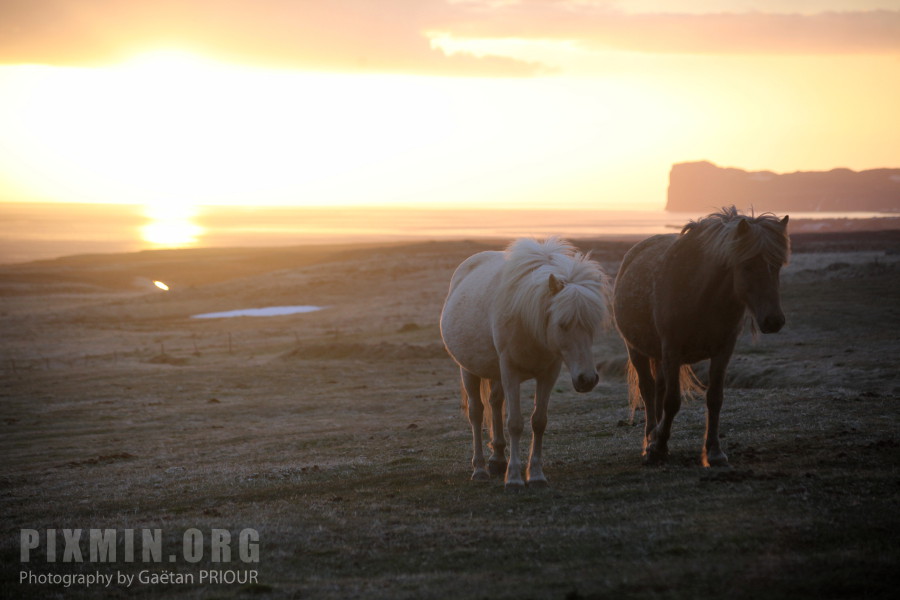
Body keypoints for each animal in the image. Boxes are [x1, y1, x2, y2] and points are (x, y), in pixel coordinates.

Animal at [438, 237, 608, 490]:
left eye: (591, 324)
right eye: (562, 324)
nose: (587, 379)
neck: (527, 318)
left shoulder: (549, 372)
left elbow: (539, 421)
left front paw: (535, 474)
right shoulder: (511, 371)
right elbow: (515, 423)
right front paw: (515, 478)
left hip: (495, 372)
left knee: (495, 403)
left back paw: (498, 460)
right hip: (468, 370)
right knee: (476, 412)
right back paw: (480, 468)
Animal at [616, 209, 792, 466]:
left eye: (778, 265)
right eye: (748, 265)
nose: (774, 321)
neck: (702, 295)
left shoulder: (723, 350)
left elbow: (715, 398)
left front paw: (714, 452)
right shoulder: (672, 350)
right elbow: (672, 401)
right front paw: (657, 447)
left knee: (658, 388)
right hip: (637, 350)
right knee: (648, 390)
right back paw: (650, 441)